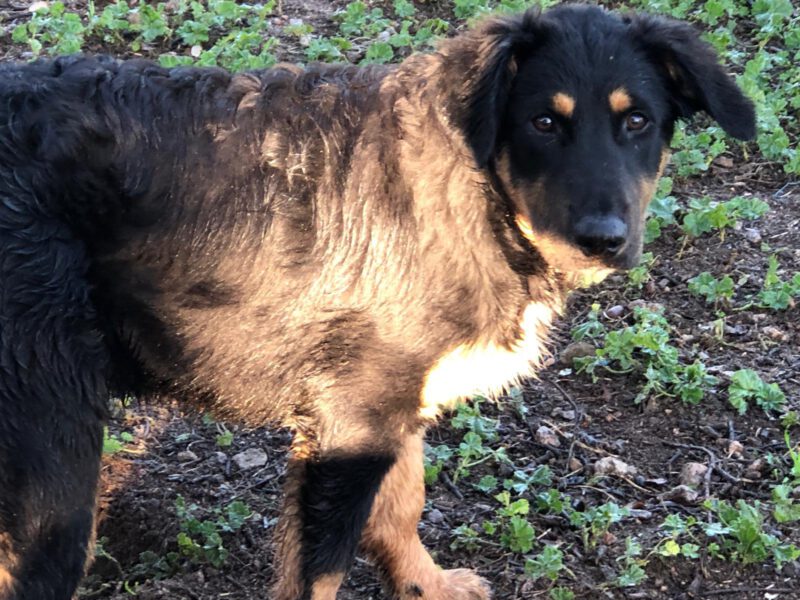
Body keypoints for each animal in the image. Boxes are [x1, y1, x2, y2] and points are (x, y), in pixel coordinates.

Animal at [0, 4, 754, 599]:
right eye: (543, 122)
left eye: (639, 122)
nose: (603, 240)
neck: (472, 195)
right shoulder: (349, 423)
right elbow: (321, 571)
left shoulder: (394, 405)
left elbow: (402, 506)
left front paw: (427, 584)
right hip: (55, 462)